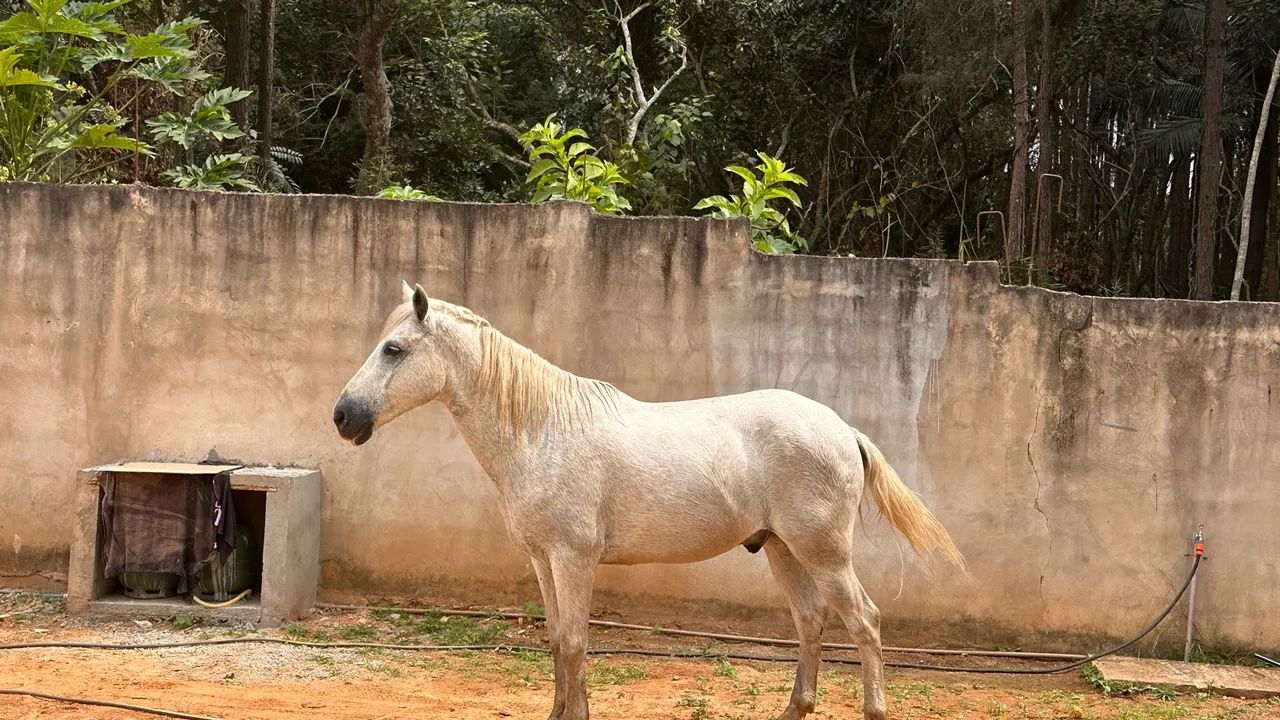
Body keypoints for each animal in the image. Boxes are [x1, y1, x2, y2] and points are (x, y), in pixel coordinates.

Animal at [333, 282, 965, 720]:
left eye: (393, 349)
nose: (343, 416)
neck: (541, 430)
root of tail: (842, 428)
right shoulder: (542, 561)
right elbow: (556, 640)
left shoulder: (574, 559)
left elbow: (575, 643)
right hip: (783, 549)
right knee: (811, 622)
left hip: (824, 554)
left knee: (865, 622)